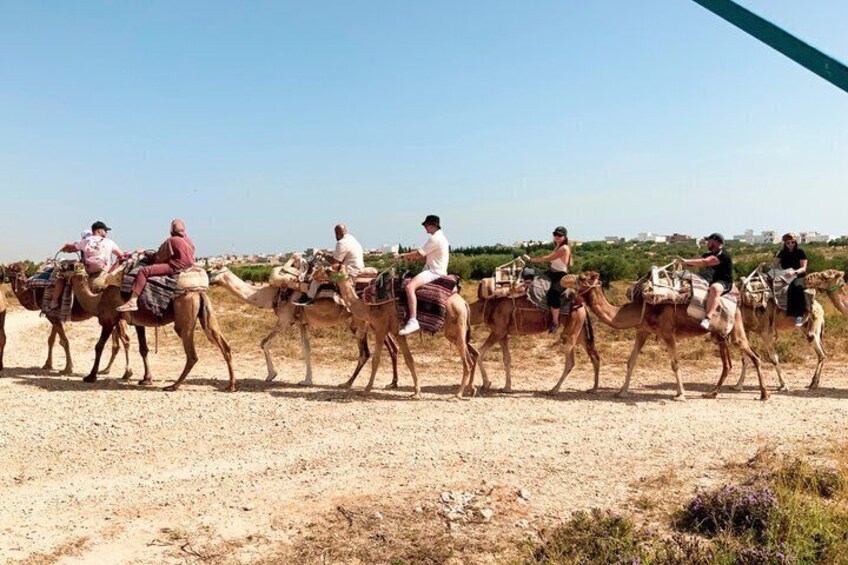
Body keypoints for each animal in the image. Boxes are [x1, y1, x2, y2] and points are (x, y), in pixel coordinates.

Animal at [66, 264, 235, 391]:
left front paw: (90, 376)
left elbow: (99, 346)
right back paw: (231, 386)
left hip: (185, 312)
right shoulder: (137, 323)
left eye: (67, 266)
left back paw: (173, 386)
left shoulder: (109, 320)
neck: (97, 299)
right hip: (207, 312)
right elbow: (143, 349)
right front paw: (146, 379)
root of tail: (198, 291)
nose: (62, 276)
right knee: (224, 345)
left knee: (192, 354)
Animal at [208, 266, 398, 387]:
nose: (207, 280)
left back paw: (348, 383)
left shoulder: (284, 320)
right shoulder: (301, 323)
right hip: (373, 322)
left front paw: (271, 375)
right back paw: (392, 383)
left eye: (211, 271)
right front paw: (307, 380)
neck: (270, 294)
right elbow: (306, 348)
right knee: (392, 347)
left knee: (365, 353)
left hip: (359, 323)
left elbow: (264, 343)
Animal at [333, 268, 478, 399]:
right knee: (470, 357)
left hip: (455, 329)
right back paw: (471, 389)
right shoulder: (398, 333)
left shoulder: (380, 328)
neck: (367, 305)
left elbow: (376, 360)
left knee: (467, 361)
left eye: (333, 267)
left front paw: (366, 389)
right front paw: (416, 392)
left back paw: (458, 394)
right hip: (458, 332)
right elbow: (409, 359)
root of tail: (464, 303)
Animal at [469, 287, 601, 394]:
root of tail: (583, 305)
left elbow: (479, 352)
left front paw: (486, 384)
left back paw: (554, 389)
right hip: (580, 331)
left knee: (570, 362)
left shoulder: (497, 331)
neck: (486, 306)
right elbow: (507, 359)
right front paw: (507, 387)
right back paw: (593, 388)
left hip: (571, 330)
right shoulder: (503, 334)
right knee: (594, 356)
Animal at [562, 271, 769, 401]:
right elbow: (631, 361)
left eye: (582, 277)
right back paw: (712, 393)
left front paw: (681, 395)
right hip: (720, 334)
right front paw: (622, 392)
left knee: (755, 357)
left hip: (735, 330)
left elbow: (675, 363)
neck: (641, 307)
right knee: (728, 364)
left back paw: (764, 394)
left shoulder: (668, 332)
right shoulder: (643, 330)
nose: (564, 288)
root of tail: (738, 301)